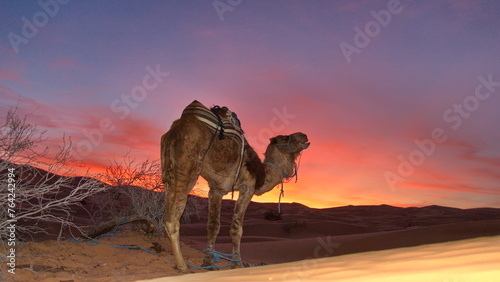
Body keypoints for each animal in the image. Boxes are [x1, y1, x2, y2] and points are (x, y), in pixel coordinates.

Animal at [160, 101, 308, 270]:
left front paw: (209, 263)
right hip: (187, 165)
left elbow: (213, 225)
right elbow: (237, 228)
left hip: (168, 168)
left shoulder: (216, 189)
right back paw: (182, 265)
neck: (260, 174)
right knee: (172, 218)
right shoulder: (247, 189)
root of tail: (177, 126)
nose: (304, 135)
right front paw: (237, 263)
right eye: (285, 137)